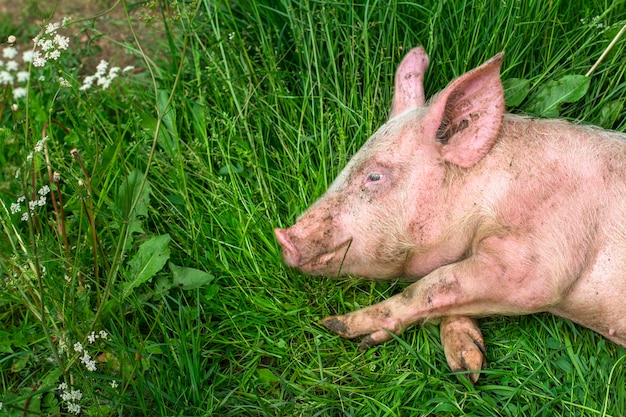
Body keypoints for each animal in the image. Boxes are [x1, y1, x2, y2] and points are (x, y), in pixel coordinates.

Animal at [272, 47, 624, 382]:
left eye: (374, 176)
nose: (283, 237)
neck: (490, 191)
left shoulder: (540, 257)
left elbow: (433, 285)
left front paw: (339, 326)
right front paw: (468, 367)